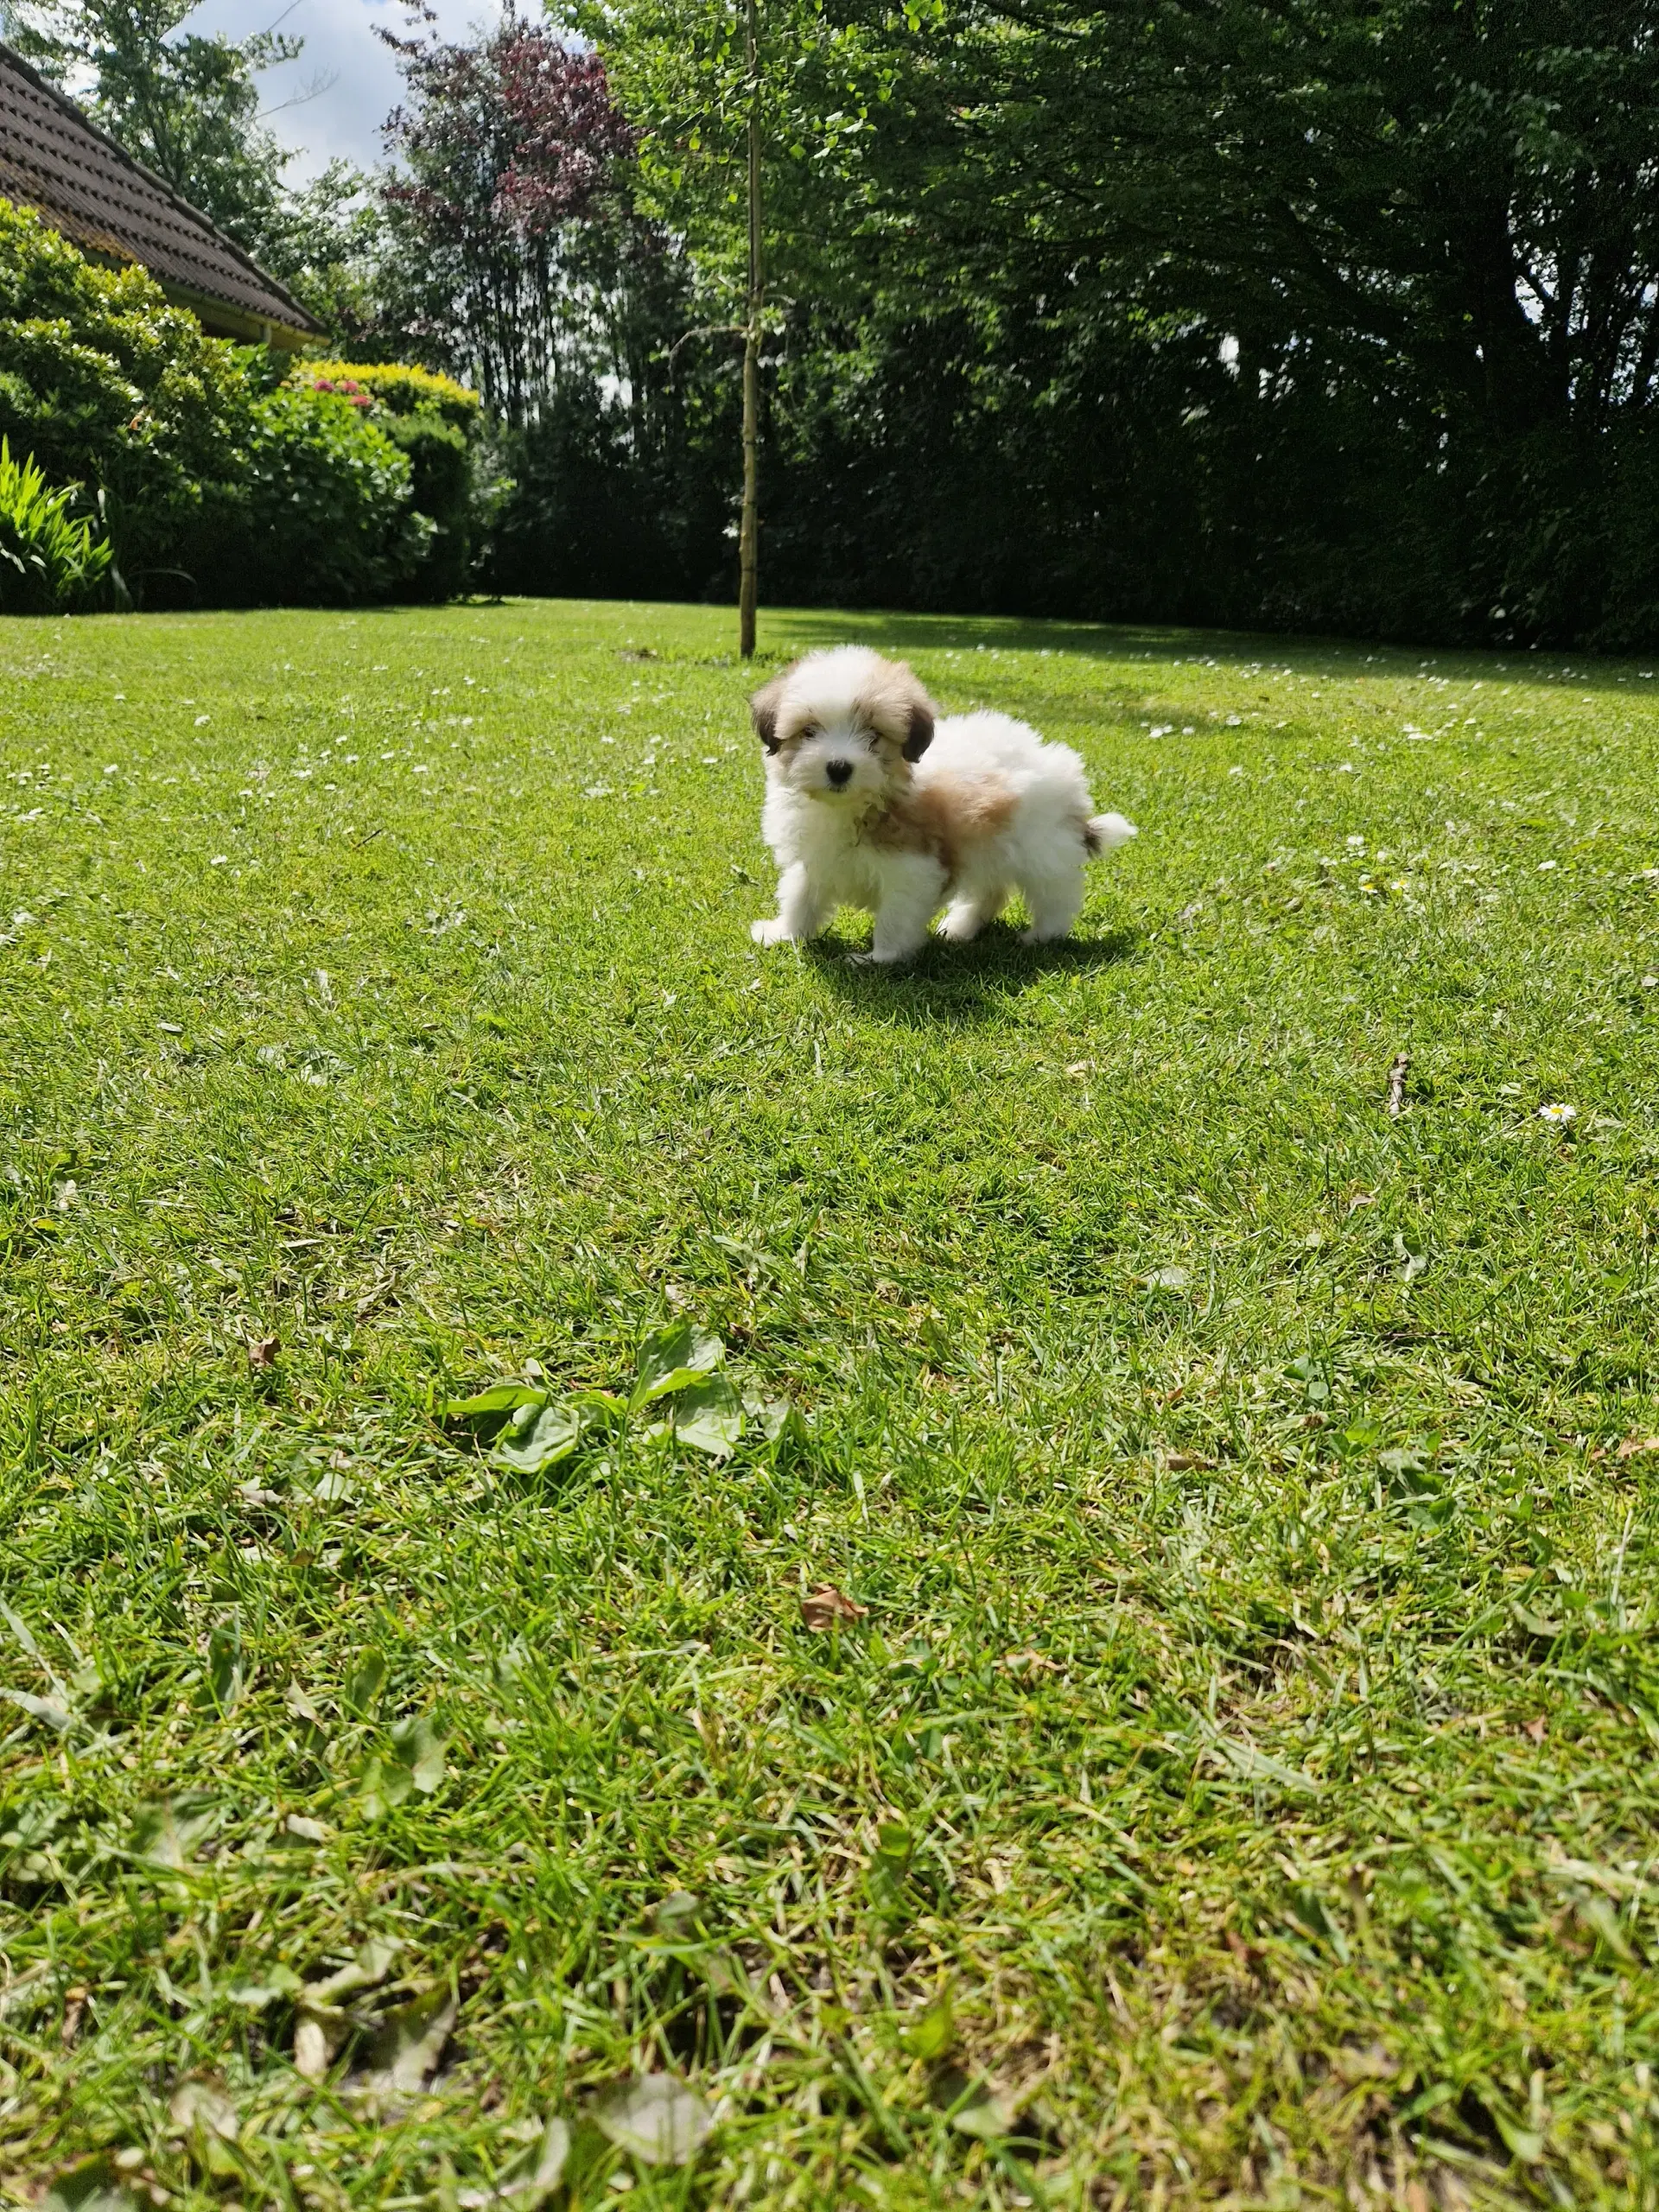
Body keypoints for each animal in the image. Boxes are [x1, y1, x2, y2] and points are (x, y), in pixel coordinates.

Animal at [747, 641, 1141, 960]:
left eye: (873, 735)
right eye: (809, 731)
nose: (839, 768)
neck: (852, 807)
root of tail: (1065, 774)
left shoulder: (912, 868)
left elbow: (896, 915)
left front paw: (880, 958)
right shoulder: (813, 859)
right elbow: (801, 896)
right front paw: (784, 933)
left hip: (1040, 848)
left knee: (1054, 894)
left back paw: (1042, 935)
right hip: (987, 846)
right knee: (991, 892)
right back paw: (962, 927)